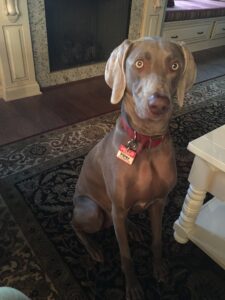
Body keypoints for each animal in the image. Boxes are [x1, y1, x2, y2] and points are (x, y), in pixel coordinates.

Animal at [71, 36, 196, 298]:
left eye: (175, 66)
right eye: (139, 63)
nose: (158, 104)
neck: (145, 142)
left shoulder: (159, 202)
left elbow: (157, 241)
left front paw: (159, 270)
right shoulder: (118, 208)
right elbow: (125, 255)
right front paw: (134, 287)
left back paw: (134, 229)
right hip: (92, 211)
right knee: (75, 223)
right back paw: (94, 248)